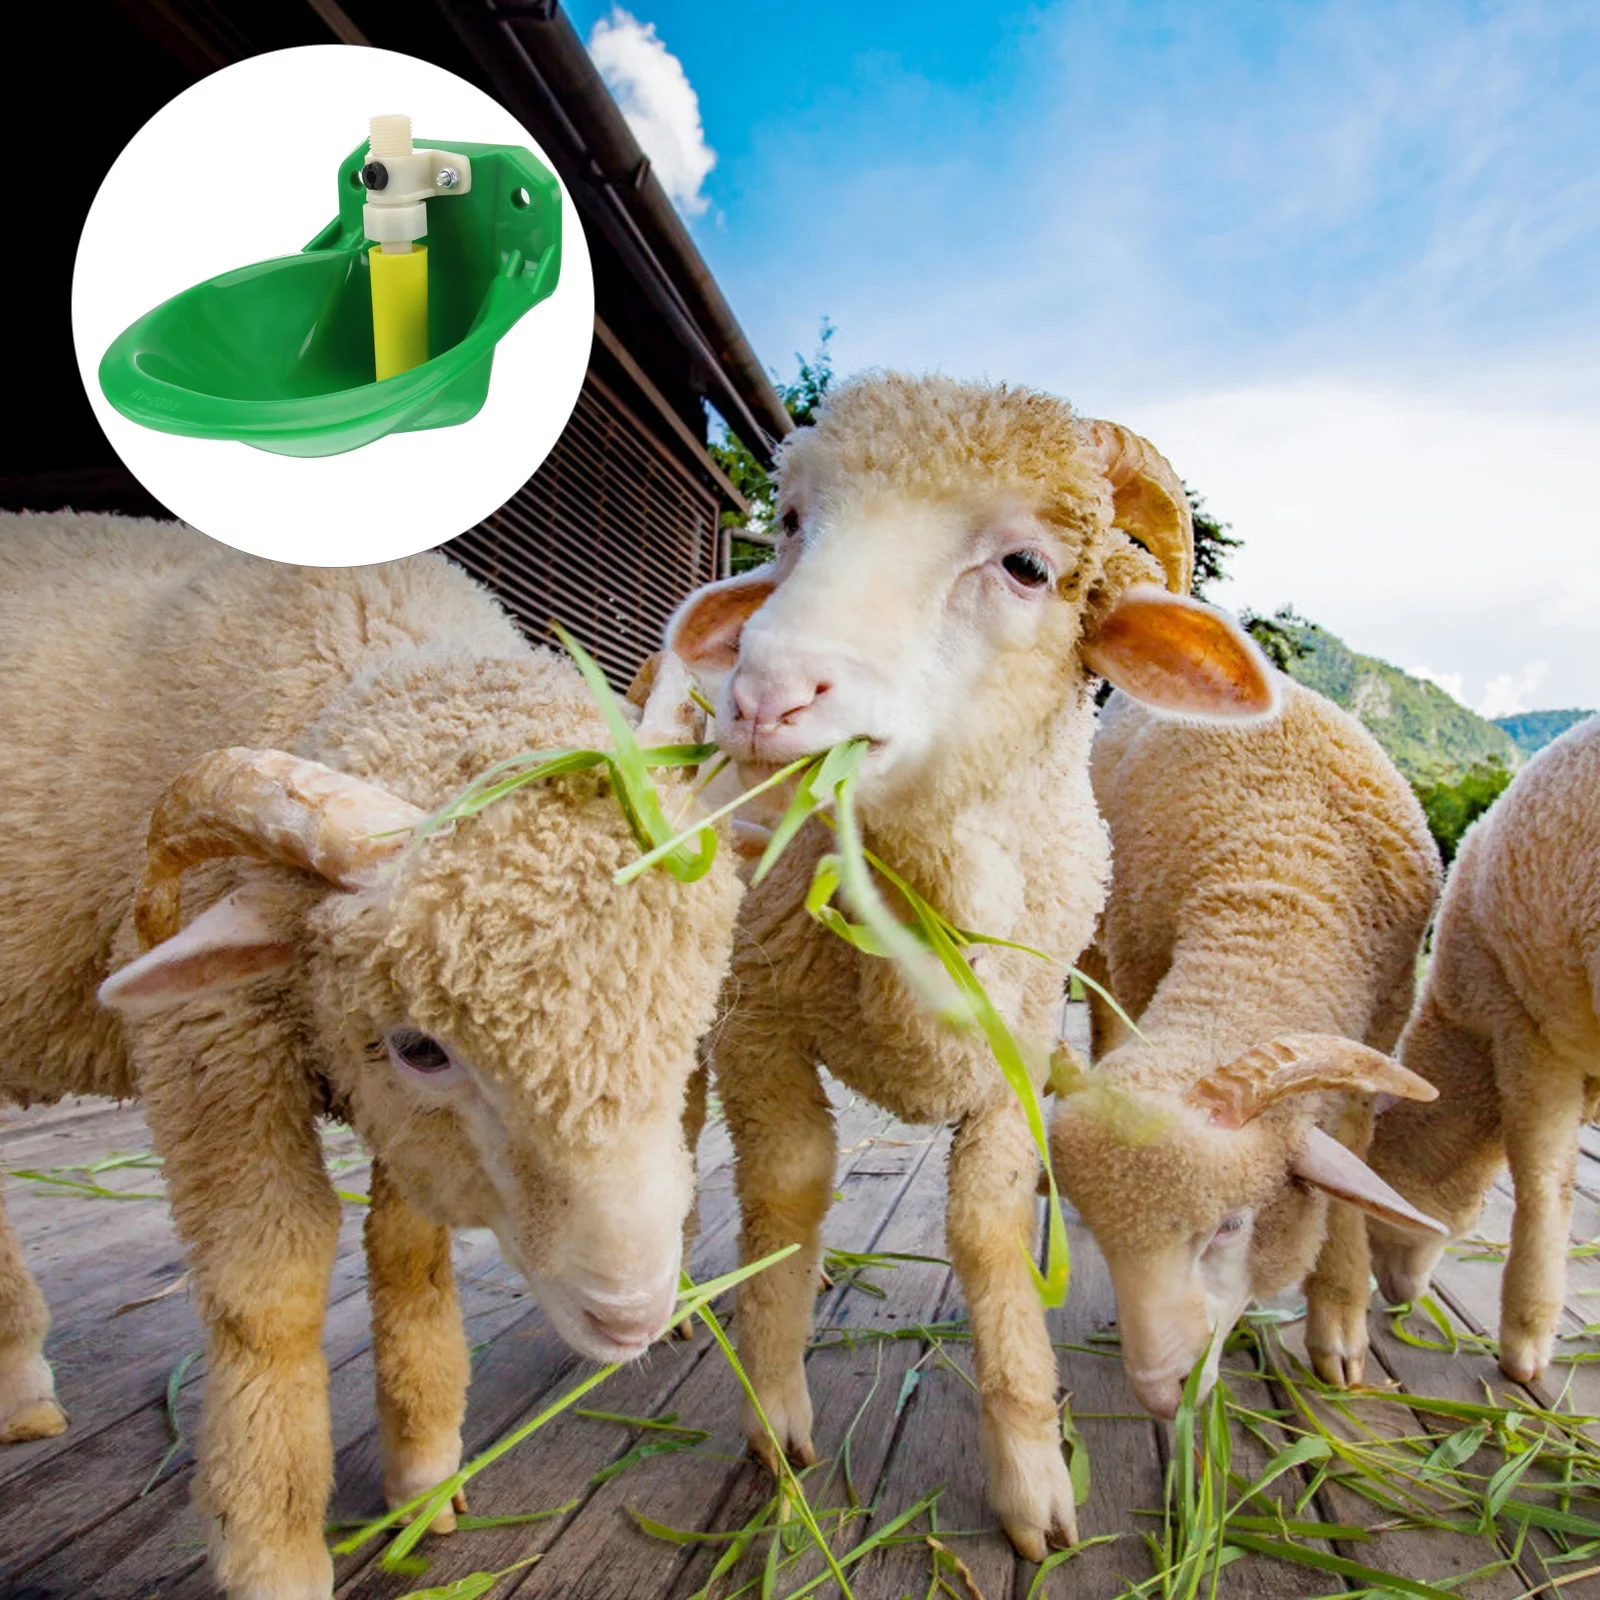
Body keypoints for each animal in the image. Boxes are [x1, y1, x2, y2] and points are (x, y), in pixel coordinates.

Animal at [0, 511, 741, 1600]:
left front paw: (426, 1474)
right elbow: (268, 1286)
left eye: (694, 1016)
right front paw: (271, 1545)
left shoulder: (408, 1128)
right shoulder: (210, 1036)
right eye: (422, 1047)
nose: (631, 1314)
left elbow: (409, 1255)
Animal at [663, 373, 1278, 1558]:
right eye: (793, 521)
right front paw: (775, 1413)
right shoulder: (759, 1022)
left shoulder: (1018, 1057)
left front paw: (1033, 1480)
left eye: (1027, 566)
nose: (762, 695)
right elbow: (786, 1191)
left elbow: (987, 1233)